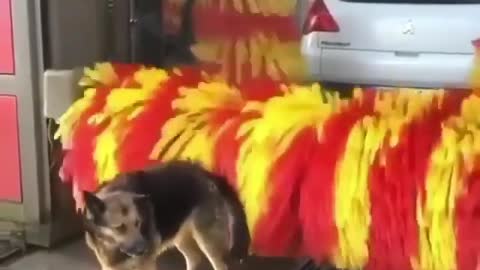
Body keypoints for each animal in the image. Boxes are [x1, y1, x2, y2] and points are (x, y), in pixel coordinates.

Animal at [82, 160, 249, 270]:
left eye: (138, 223)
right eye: (119, 227)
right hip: (180, 234)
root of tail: (206, 173)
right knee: (194, 258)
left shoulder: (146, 264)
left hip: (205, 239)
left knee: (218, 264)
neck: (111, 245)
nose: (144, 249)